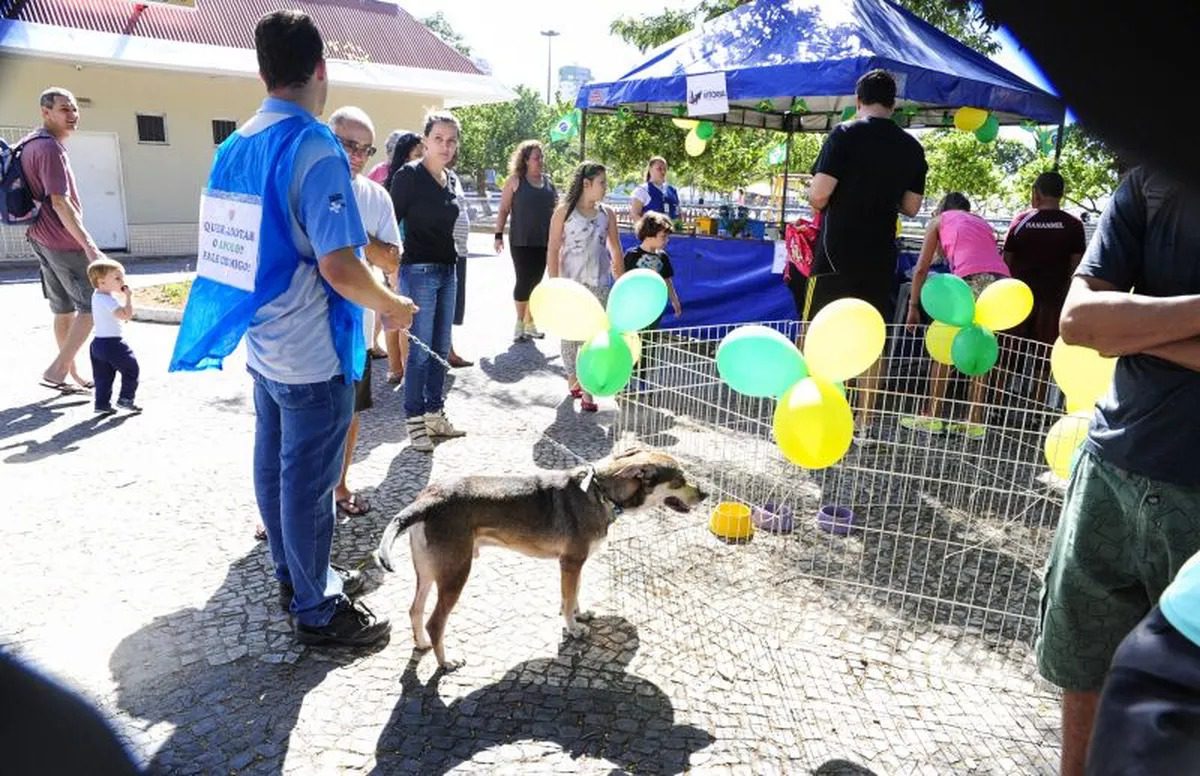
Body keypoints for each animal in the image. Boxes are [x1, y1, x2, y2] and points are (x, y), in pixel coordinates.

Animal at [376, 446, 700, 671]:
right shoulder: (571, 563)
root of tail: (427, 500)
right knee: (435, 623)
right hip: (456, 574)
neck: (600, 493)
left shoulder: (575, 564)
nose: (706, 494)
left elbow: (574, 595)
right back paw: (446, 662)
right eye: (679, 480)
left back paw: (421, 644)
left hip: (428, 573)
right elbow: (567, 601)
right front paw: (573, 629)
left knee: (414, 610)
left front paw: (580, 615)